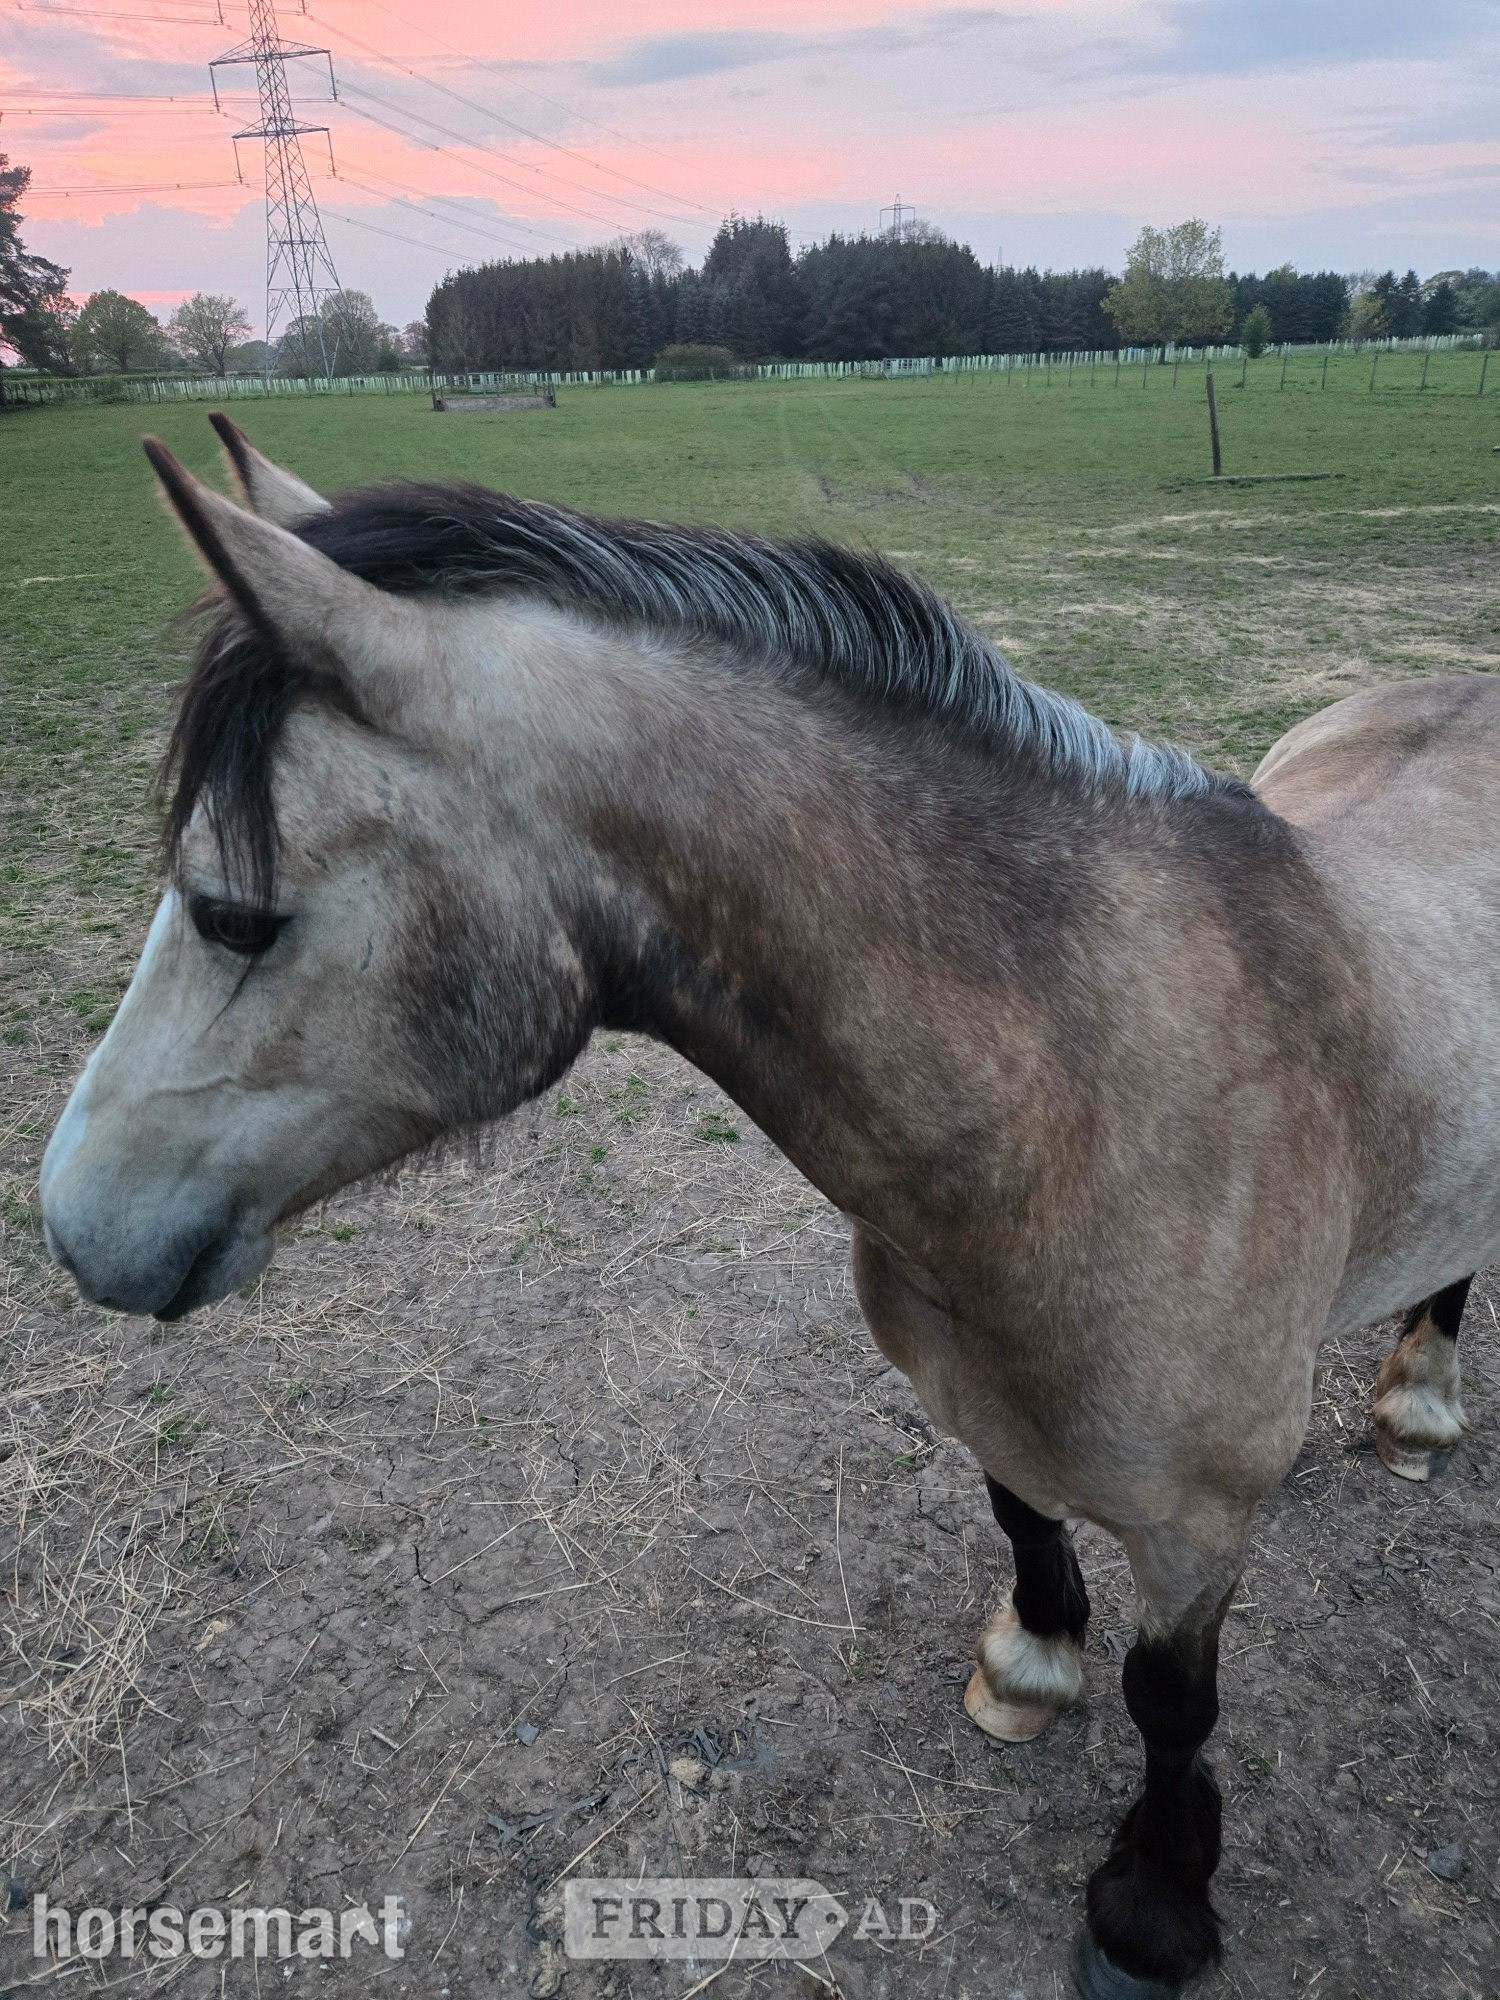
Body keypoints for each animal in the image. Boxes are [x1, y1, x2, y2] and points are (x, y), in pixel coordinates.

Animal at [39, 414, 1498, 1998]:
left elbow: (1173, 1704)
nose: (69, 1223)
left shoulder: (1200, 1521)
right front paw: (1029, 1660)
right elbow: (1020, 1511)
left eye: (233, 912)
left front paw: (1152, 1909)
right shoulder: (978, 1393)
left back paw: (1422, 1398)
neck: (1087, 1090)